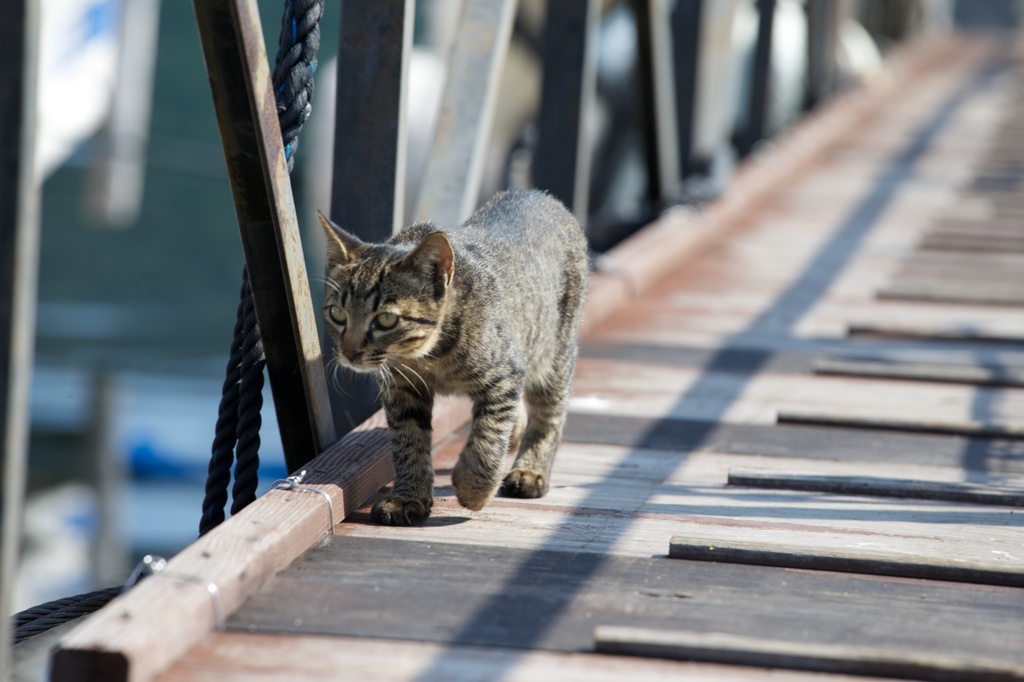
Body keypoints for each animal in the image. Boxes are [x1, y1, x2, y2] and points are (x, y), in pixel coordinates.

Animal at [319, 188, 593, 522]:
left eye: (385, 319)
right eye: (337, 314)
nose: (349, 352)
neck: (429, 356)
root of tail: (538, 194)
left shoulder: (505, 375)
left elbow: (488, 437)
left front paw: (474, 487)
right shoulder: (401, 387)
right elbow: (408, 440)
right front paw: (408, 497)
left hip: (554, 352)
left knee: (550, 412)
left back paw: (530, 470)